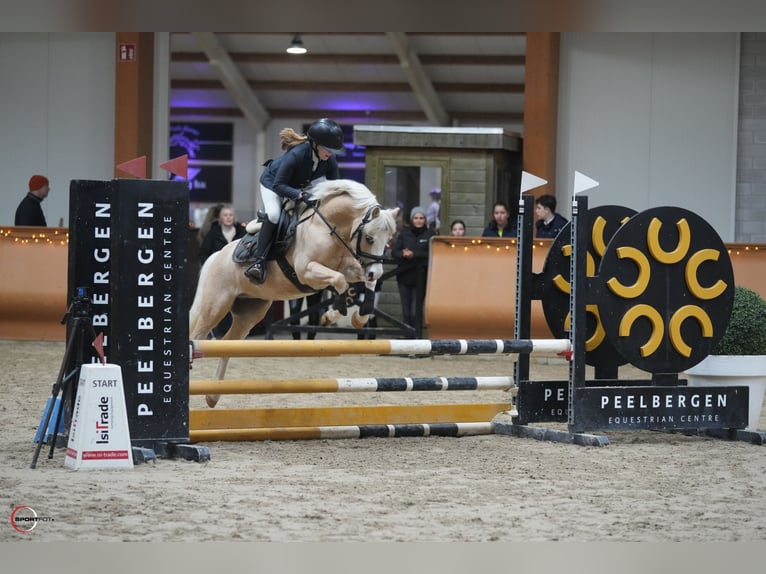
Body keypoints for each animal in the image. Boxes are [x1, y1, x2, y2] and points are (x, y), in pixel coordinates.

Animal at [189, 178, 399, 407]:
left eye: (389, 239)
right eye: (369, 238)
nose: (374, 271)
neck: (328, 228)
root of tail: (216, 256)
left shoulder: (351, 267)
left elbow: (362, 282)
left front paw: (360, 317)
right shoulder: (307, 271)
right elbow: (339, 281)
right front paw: (331, 315)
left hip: (250, 313)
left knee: (227, 344)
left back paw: (212, 397)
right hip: (216, 306)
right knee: (197, 336)